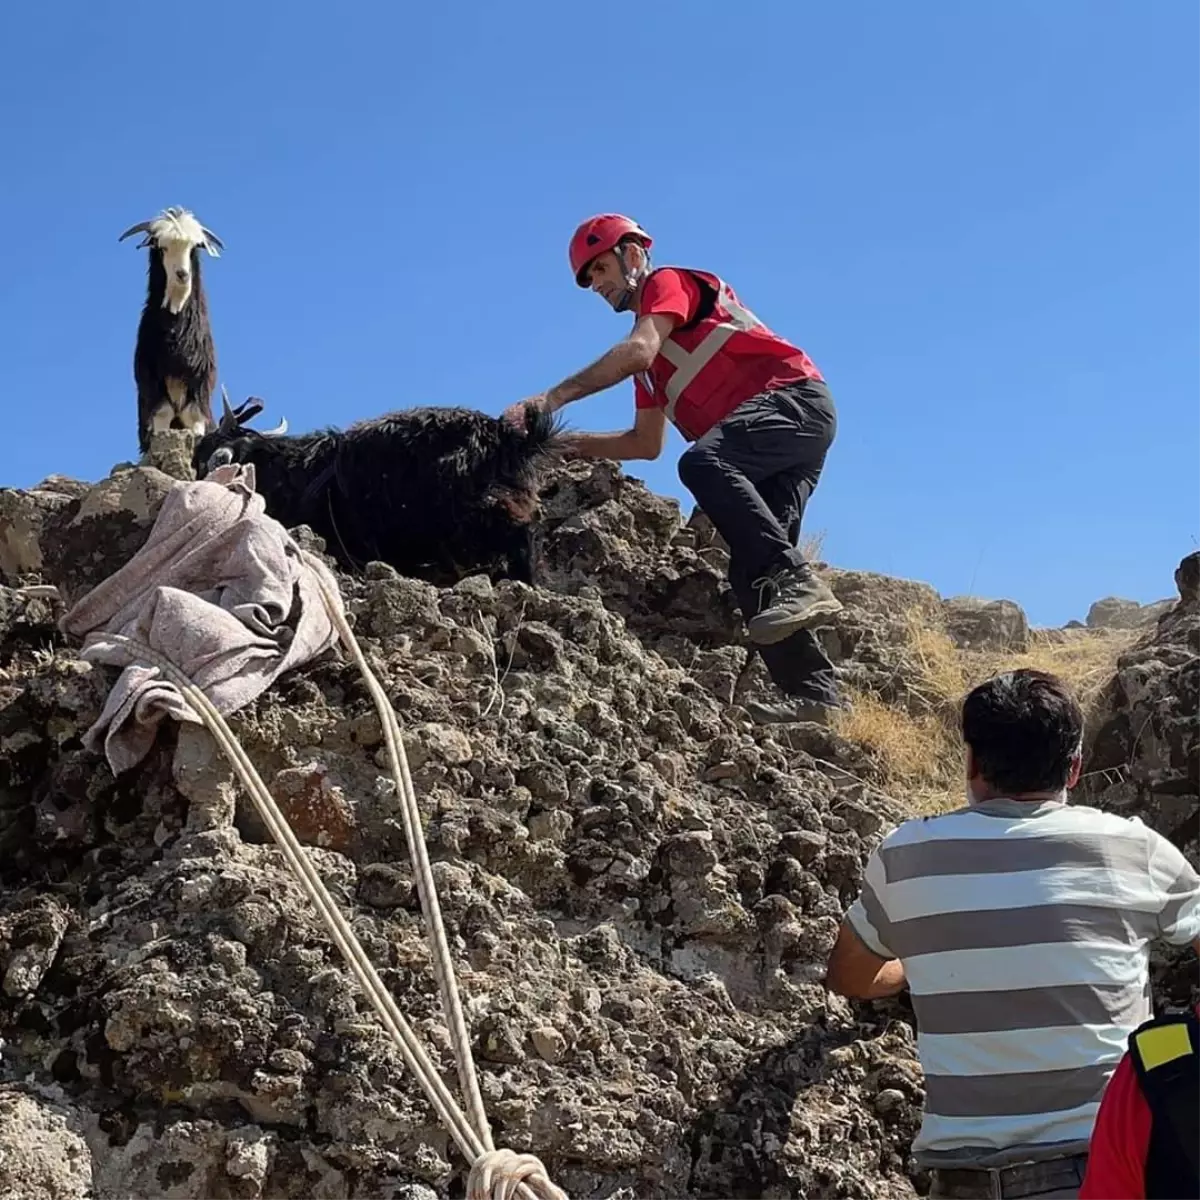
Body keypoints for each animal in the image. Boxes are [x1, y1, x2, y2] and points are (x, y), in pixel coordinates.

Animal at [120, 206, 225, 453]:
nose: (182, 275)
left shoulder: (200, 383)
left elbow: (194, 416)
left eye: (194, 247)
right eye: (162, 247)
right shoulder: (151, 380)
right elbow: (163, 414)